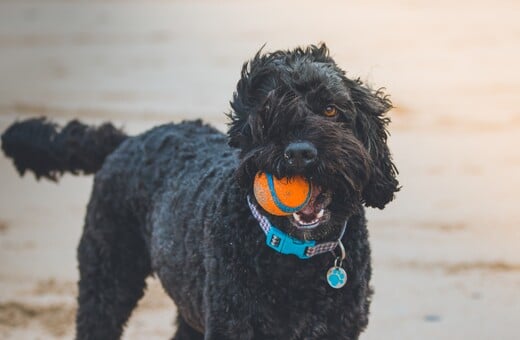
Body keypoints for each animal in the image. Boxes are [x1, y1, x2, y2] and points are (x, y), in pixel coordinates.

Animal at [1, 43, 398, 338]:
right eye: (267, 113)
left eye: (330, 109)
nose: (300, 152)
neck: (295, 256)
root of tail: (128, 140)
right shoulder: (232, 325)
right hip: (107, 277)